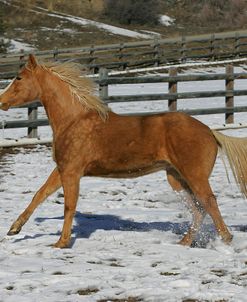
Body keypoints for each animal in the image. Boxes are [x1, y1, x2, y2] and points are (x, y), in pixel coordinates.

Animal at [0, 54, 247, 248]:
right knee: (199, 209)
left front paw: (61, 243)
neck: (73, 120)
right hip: (176, 178)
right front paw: (14, 229)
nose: (1, 101)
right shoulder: (62, 169)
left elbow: (69, 206)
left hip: (194, 175)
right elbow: (39, 194)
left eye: (19, 77)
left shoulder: (72, 172)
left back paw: (226, 241)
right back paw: (184, 242)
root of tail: (210, 132)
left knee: (209, 203)